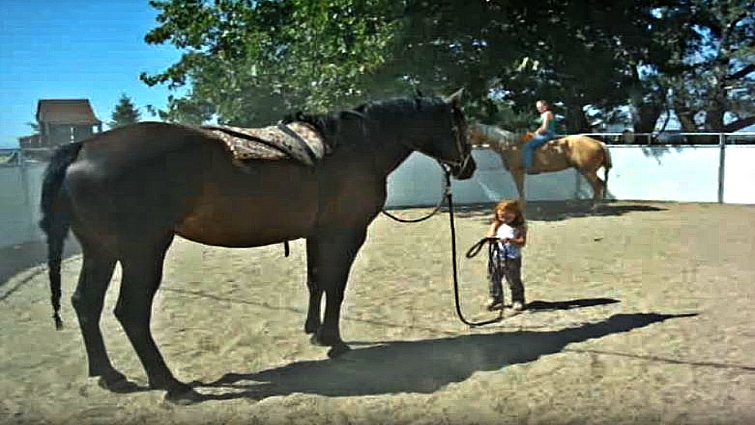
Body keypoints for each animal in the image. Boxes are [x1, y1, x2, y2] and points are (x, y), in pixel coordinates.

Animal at [39, 90, 476, 403]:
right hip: (142, 250)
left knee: (85, 302)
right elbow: (335, 285)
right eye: (460, 125)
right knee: (130, 312)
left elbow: (316, 281)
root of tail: (82, 149)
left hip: (102, 250)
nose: (468, 167)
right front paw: (335, 342)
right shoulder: (346, 233)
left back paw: (110, 376)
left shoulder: (317, 234)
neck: (356, 148)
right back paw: (172, 385)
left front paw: (315, 333)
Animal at [467, 123, 612, 205]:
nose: (467, 146)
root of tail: (600, 143)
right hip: (587, 171)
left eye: (470, 134)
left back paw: (594, 206)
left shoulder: (517, 171)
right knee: (599, 185)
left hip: (588, 171)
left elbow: (520, 188)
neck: (510, 144)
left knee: (598, 185)